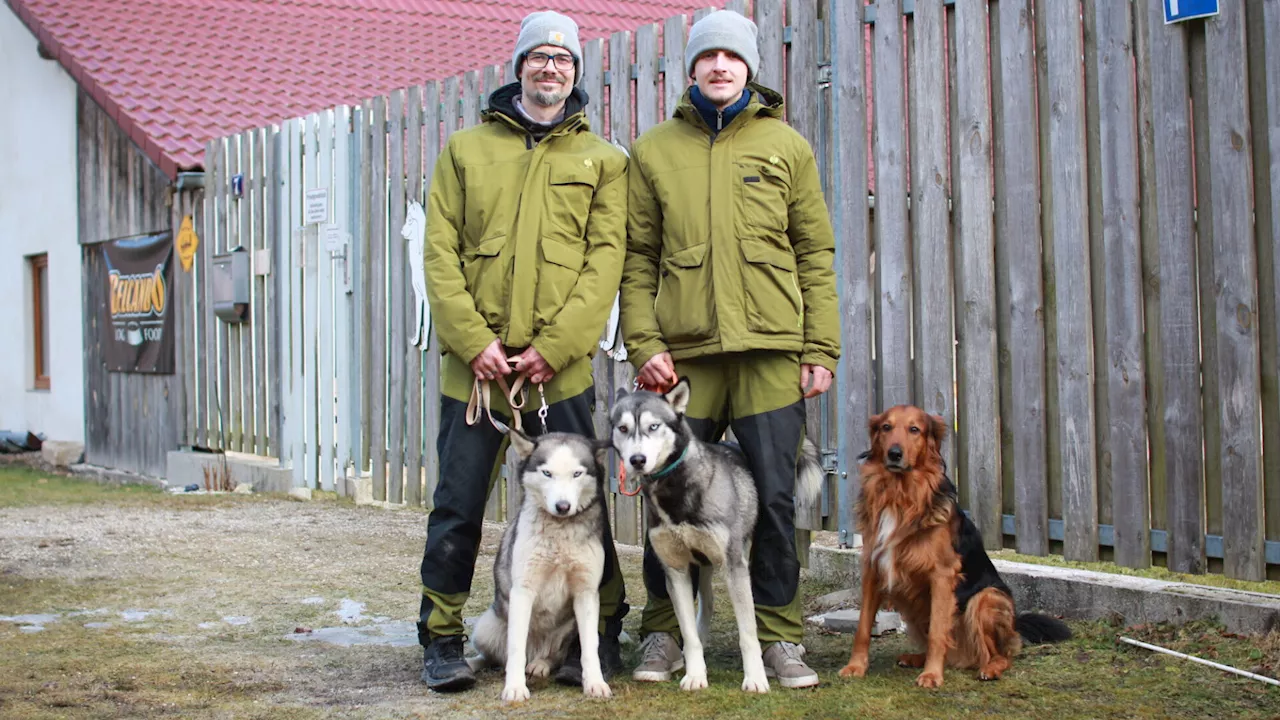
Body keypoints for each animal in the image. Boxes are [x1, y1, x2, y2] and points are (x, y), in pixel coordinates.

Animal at [839, 404, 1070, 681]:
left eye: (914, 429)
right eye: (886, 427)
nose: (894, 454)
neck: (899, 494)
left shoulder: (942, 574)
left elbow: (939, 632)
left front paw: (932, 676)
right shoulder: (873, 568)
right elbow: (863, 627)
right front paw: (855, 666)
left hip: (986, 598)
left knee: (1000, 654)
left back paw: (989, 668)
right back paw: (916, 658)